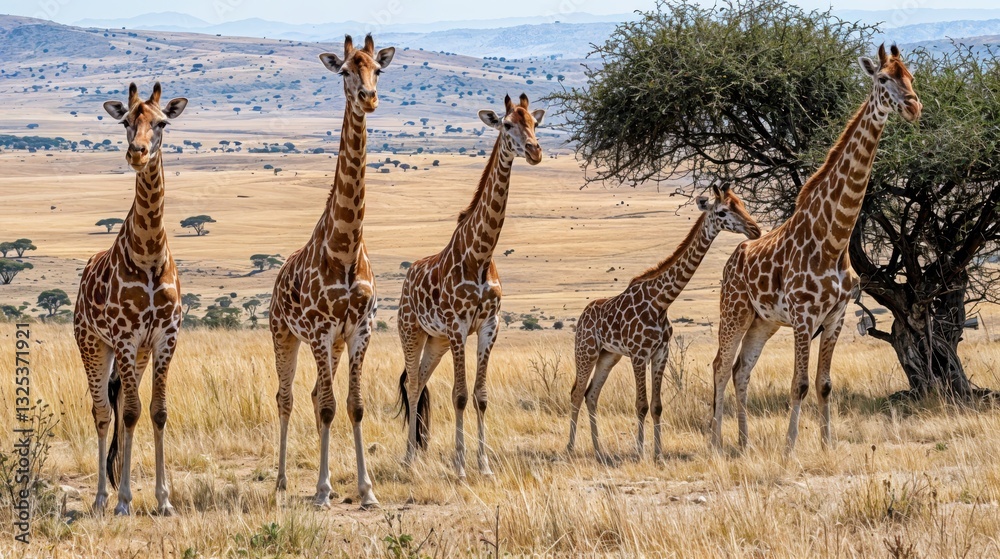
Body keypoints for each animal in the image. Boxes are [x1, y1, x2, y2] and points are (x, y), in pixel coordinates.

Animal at [74, 82, 187, 516]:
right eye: (125, 121)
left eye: (162, 122)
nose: (137, 152)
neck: (150, 255)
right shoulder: (123, 338)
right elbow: (131, 411)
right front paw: (124, 501)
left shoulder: (164, 338)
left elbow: (155, 411)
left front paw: (164, 499)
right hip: (93, 346)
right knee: (104, 412)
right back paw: (103, 499)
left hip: (134, 355)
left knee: (123, 410)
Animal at [269, 34, 393, 508]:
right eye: (343, 70)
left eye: (378, 68)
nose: (369, 97)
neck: (345, 249)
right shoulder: (321, 331)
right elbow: (326, 406)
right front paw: (322, 490)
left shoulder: (359, 330)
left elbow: (353, 405)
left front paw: (366, 489)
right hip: (283, 335)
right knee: (286, 397)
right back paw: (282, 481)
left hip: (334, 346)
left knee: (312, 393)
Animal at [396, 94, 544, 479]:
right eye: (506, 124)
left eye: (535, 123)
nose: (535, 151)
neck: (480, 255)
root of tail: (407, 279)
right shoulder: (458, 326)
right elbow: (460, 395)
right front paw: (461, 467)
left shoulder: (490, 324)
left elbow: (481, 396)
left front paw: (485, 465)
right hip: (412, 330)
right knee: (413, 385)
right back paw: (408, 458)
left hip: (436, 341)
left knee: (421, 380)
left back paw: (418, 452)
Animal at [567, 185, 761, 463]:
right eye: (723, 211)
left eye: (742, 204)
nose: (755, 230)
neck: (661, 302)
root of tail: (582, 316)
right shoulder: (638, 354)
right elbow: (641, 405)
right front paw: (639, 453)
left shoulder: (660, 353)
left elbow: (657, 406)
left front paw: (658, 453)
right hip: (586, 351)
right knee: (575, 392)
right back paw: (570, 448)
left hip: (608, 356)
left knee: (591, 395)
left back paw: (599, 450)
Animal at [710, 44, 922, 453]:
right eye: (882, 78)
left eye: (911, 76)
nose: (913, 106)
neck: (834, 238)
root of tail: (732, 260)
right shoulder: (804, 317)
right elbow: (800, 384)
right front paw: (790, 448)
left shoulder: (836, 316)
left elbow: (824, 385)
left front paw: (827, 444)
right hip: (735, 313)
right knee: (720, 366)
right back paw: (714, 440)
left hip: (763, 322)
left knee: (741, 369)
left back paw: (744, 443)